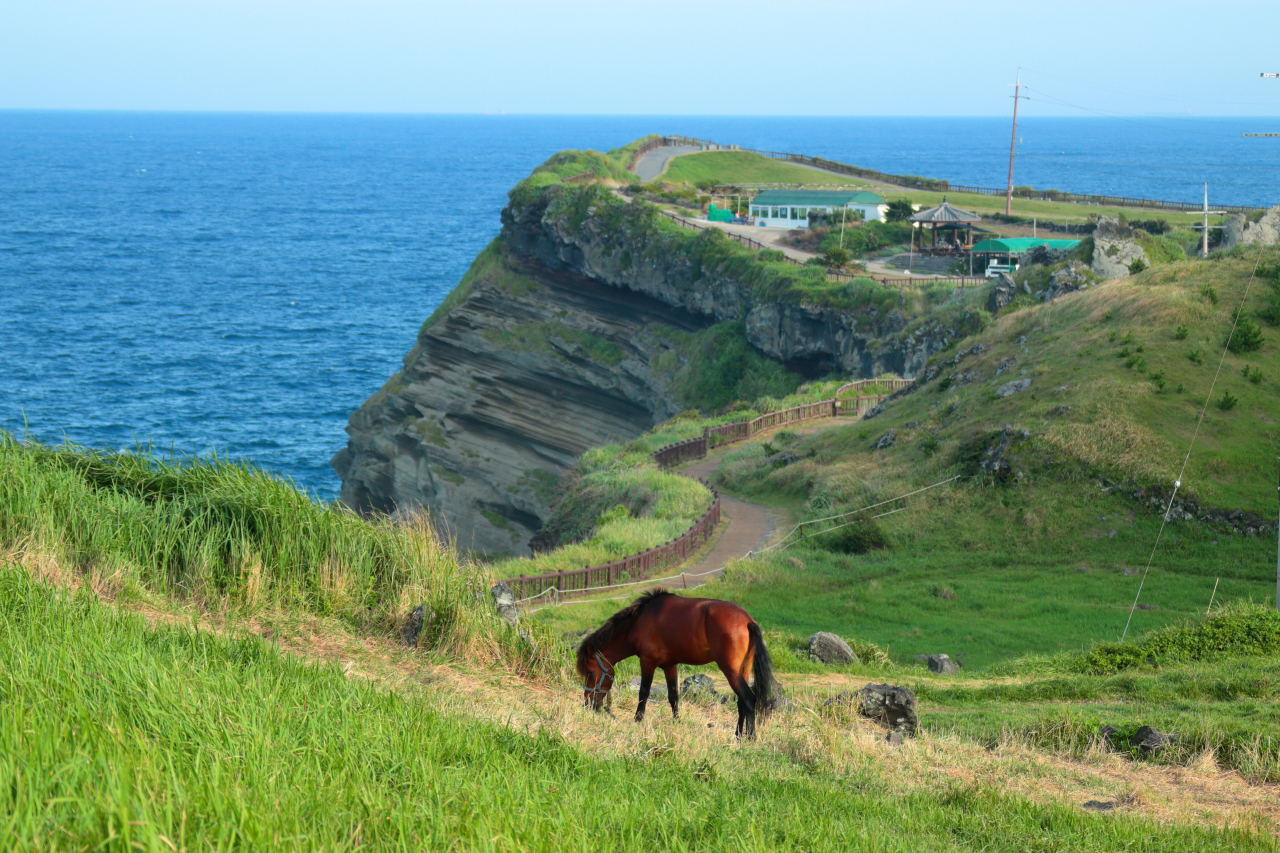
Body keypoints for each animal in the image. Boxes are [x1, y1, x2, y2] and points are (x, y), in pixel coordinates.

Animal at [578, 584, 773, 737]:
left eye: (590, 673)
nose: (588, 704)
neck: (640, 620)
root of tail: (747, 621)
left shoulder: (647, 662)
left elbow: (643, 693)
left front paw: (637, 720)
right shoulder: (670, 666)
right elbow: (673, 696)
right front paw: (677, 723)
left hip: (730, 671)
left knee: (748, 699)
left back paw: (750, 737)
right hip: (743, 670)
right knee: (741, 702)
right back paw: (738, 735)